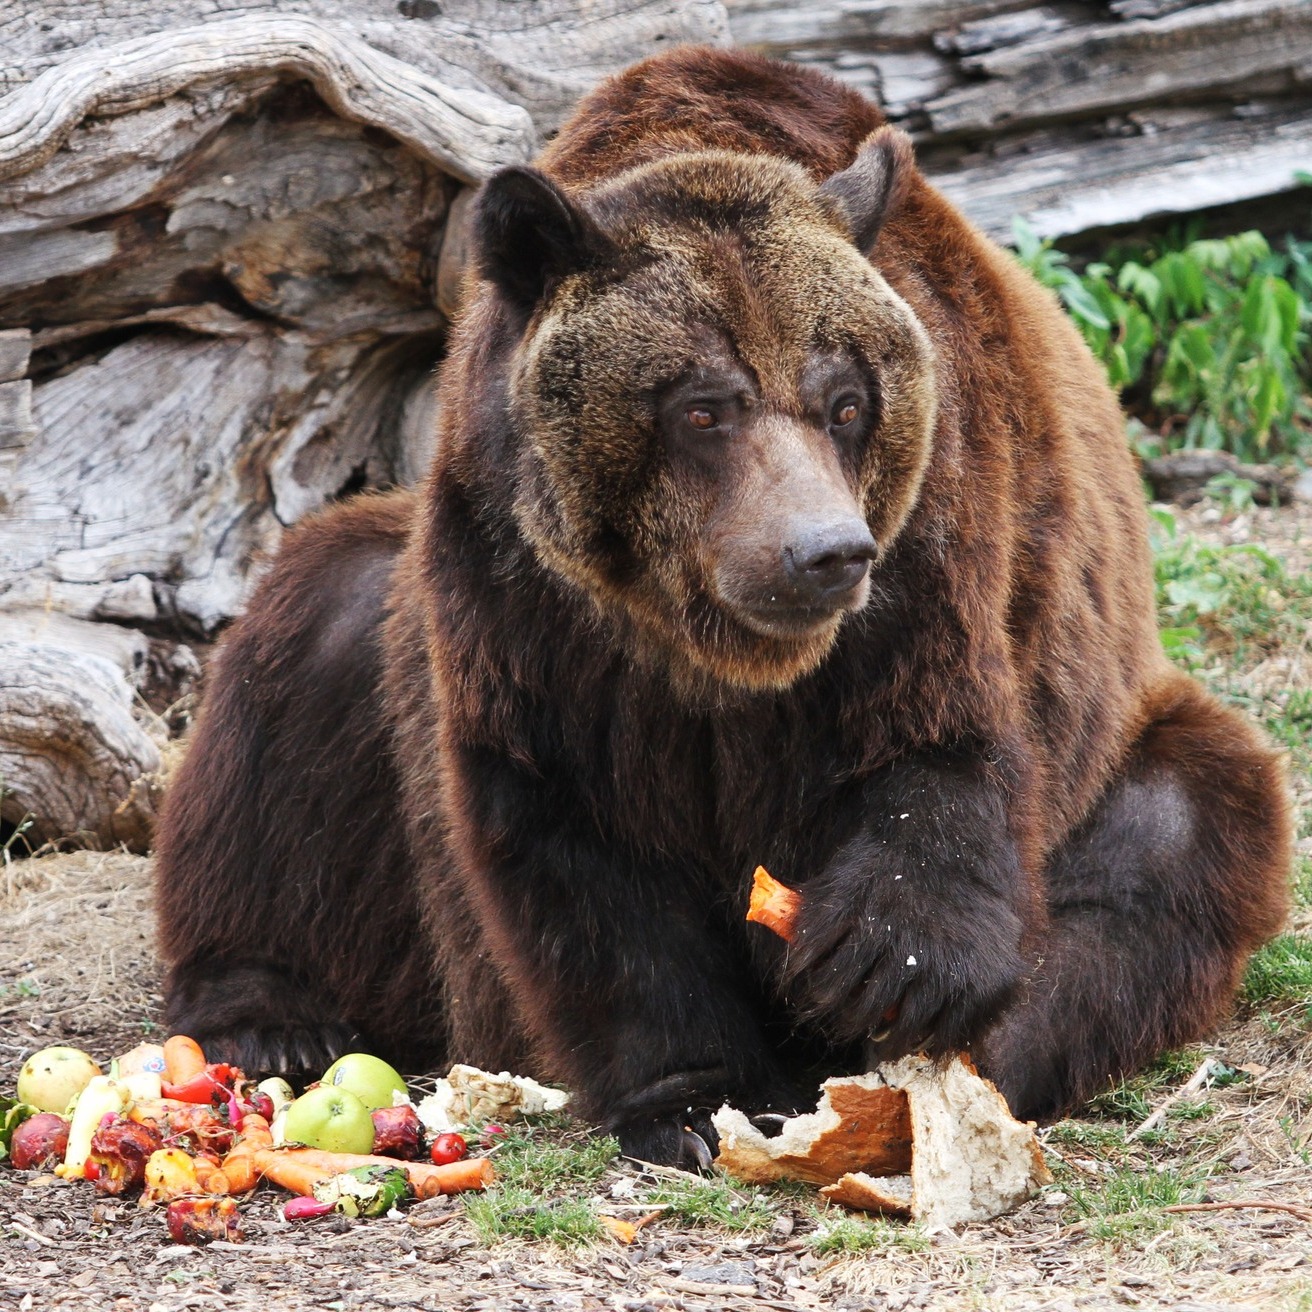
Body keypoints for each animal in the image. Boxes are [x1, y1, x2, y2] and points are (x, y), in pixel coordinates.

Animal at [153, 46, 1291, 1165]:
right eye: (703, 406)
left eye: (846, 400)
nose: (824, 553)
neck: (711, 652)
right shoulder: (524, 604)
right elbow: (574, 845)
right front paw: (696, 1100)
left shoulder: (936, 548)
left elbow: (940, 752)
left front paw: (880, 962)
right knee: (304, 663)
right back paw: (272, 1014)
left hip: (1124, 733)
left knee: (1174, 832)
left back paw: (973, 1064)